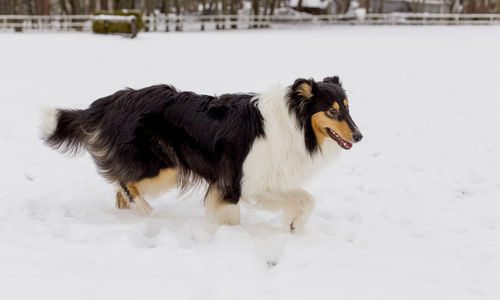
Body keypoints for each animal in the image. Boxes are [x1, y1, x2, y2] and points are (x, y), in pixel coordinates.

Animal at [41, 76, 362, 231]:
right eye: (332, 111)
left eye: (348, 108)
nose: (359, 136)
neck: (294, 123)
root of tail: (112, 100)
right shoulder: (236, 180)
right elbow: (231, 215)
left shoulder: (263, 181)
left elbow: (307, 198)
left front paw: (296, 224)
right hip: (163, 167)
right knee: (124, 182)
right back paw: (145, 211)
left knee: (121, 187)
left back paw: (130, 215)